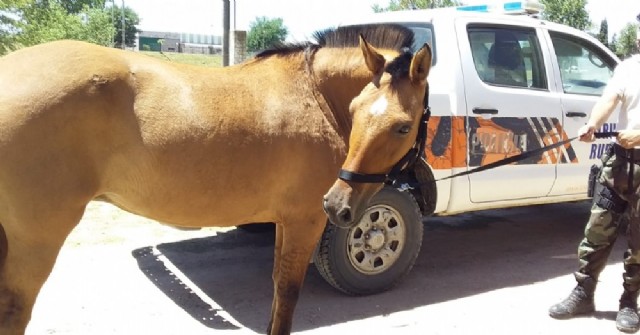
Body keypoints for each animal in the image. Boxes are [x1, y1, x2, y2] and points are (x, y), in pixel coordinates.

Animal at [0, 24, 432, 335]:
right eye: (357, 109)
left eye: (401, 126)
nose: (338, 204)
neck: (313, 94)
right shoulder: (304, 220)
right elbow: (288, 293)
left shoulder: (285, 221)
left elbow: (277, 291)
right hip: (36, 240)